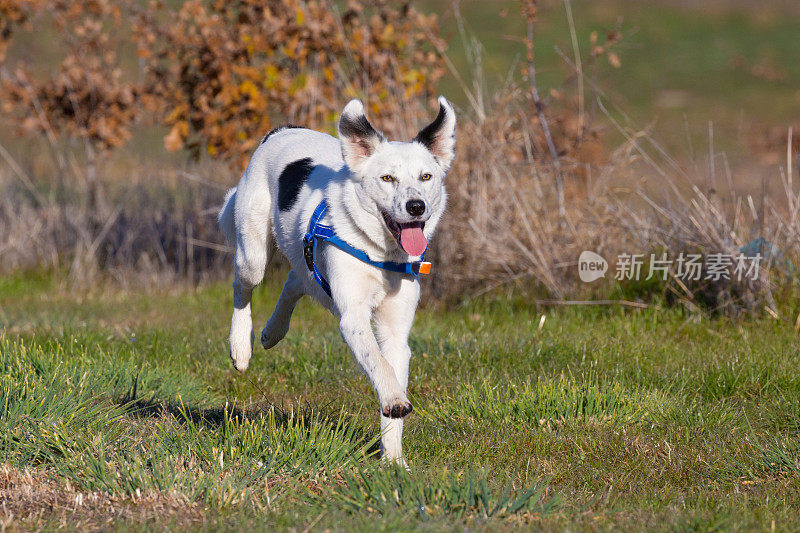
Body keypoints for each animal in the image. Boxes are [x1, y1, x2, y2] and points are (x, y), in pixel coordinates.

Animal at [217, 97, 456, 464]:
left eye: (426, 176)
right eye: (387, 178)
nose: (416, 206)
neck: (379, 252)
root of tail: (281, 129)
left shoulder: (396, 331)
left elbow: (390, 367)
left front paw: (394, 460)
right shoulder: (353, 316)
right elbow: (378, 364)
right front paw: (395, 401)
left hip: (305, 257)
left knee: (296, 278)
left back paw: (273, 332)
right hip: (252, 251)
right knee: (243, 286)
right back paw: (241, 347)